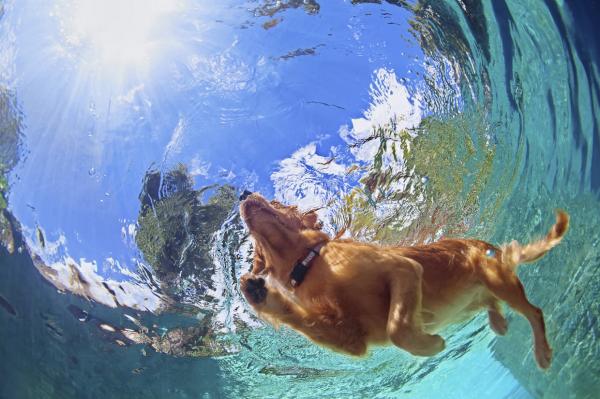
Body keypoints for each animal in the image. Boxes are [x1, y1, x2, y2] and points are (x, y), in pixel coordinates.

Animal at [239, 193, 568, 368]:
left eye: (277, 202)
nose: (243, 193)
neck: (310, 263)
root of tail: (493, 249)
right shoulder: (352, 339)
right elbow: (307, 321)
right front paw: (257, 292)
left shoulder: (403, 269)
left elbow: (397, 327)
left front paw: (430, 344)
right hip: (479, 296)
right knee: (492, 303)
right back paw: (498, 322)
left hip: (497, 279)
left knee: (534, 312)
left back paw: (542, 352)